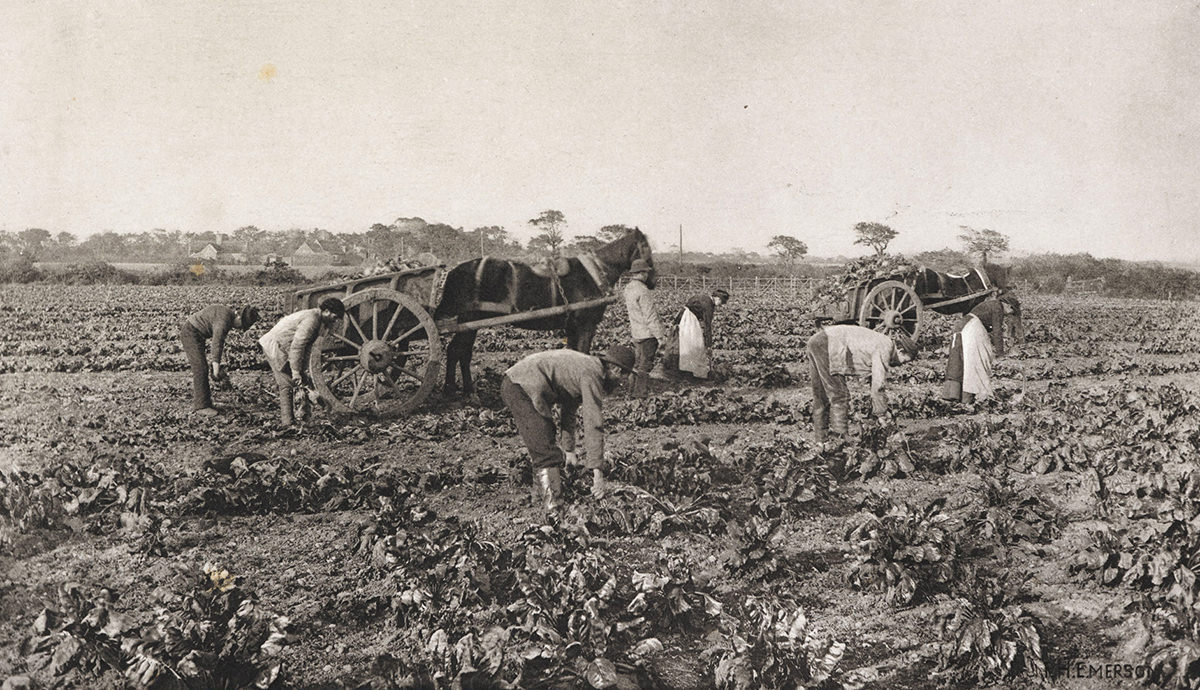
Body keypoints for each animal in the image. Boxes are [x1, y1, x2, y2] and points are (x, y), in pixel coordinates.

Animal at [434, 229, 657, 396]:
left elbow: (573, 354)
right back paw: (456, 390)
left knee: (461, 352)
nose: (653, 280)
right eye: (646, 248)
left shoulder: (572, 327)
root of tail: (454, 271)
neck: (592, 274)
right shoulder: (586, 325)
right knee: (457, 351)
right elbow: (582, 353)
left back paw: (462, 390)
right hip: (469, 321)